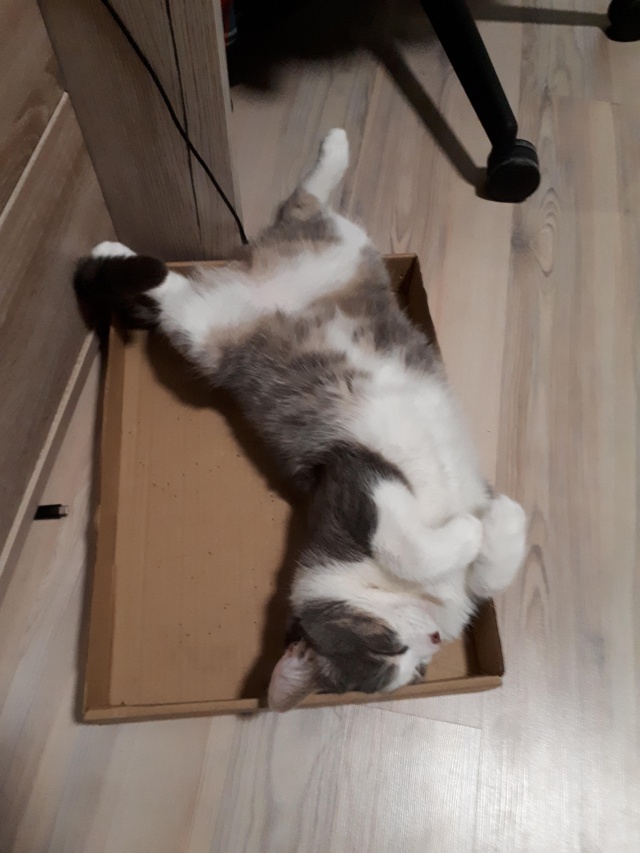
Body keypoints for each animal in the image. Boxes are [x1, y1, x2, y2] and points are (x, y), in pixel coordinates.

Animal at [74, 128, 527, 712]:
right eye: (394, 658)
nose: (428, 642)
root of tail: (251, 275)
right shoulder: (354, 478)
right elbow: (413, 549)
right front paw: (482, 525)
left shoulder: (363, 490)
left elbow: (487, 575)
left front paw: (501, 521)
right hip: (201, 329)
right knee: (175, 287)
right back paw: (114, 252)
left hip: (337, 249)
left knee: (301, 203)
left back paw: (331, 149)